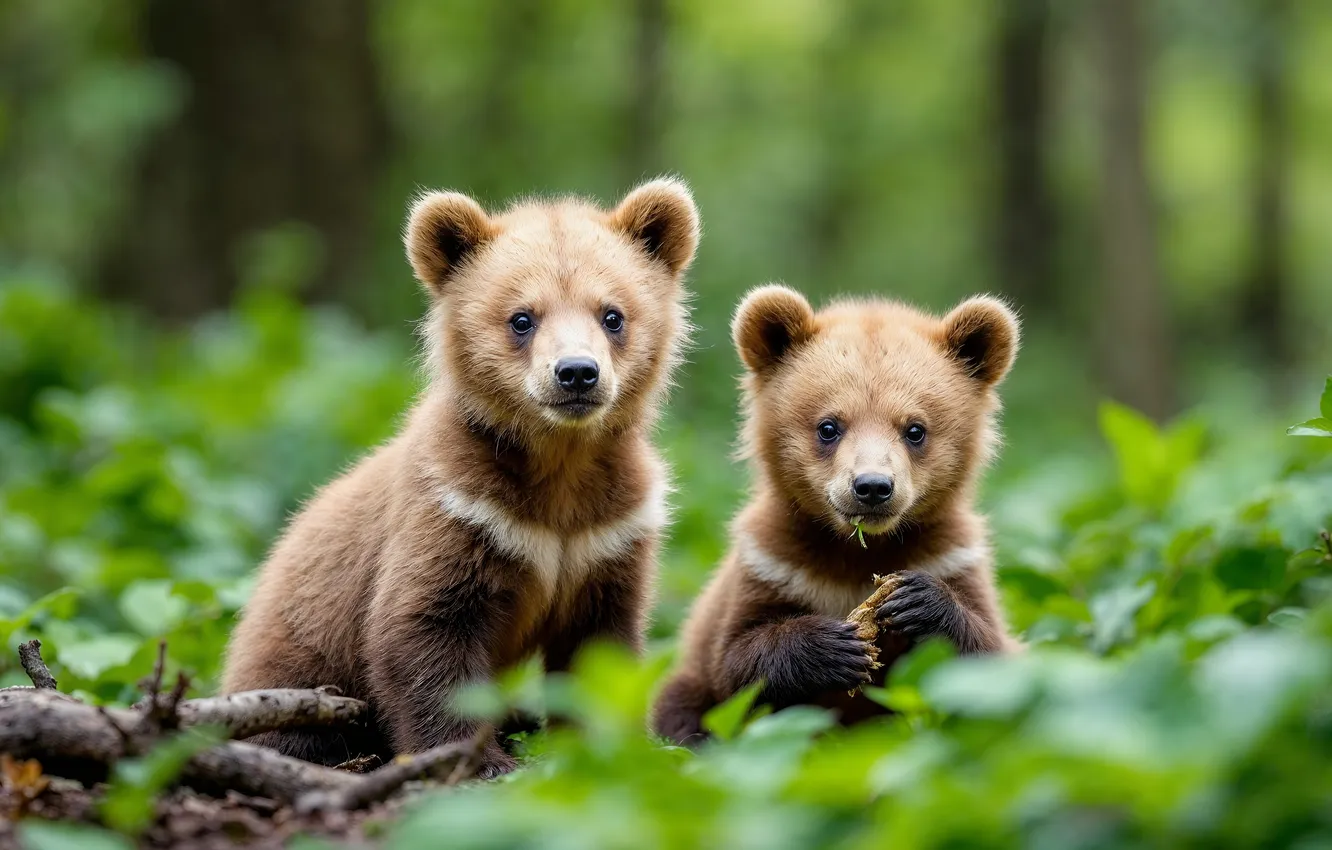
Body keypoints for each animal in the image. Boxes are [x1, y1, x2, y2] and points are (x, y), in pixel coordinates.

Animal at [221, 178, 700, 777]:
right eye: (522, 318)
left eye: (612, 314)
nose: (576, 373)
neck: (558, 465)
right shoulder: (462, 510)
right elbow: (425, 630)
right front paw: (479, 760)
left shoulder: (608, 532)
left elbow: (598, 650)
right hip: (294, 657)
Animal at [652, 285, 1021, 745]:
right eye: (829, 426)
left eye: (915, 429)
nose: (872, 487)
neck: (856, 551)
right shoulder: (772, 564)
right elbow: (736, 660)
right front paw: (832, 647)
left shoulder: (952, 557)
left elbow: (992, 659)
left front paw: (918, 601)